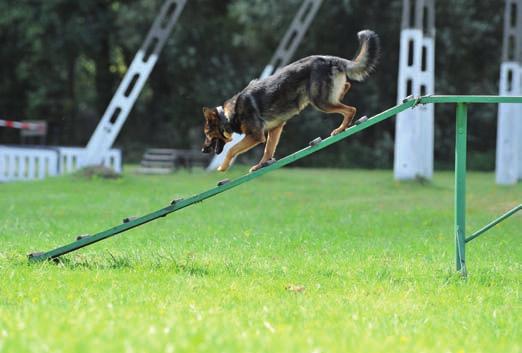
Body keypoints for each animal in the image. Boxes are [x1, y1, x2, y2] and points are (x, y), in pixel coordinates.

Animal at [200, 29, 378, 172]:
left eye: (207, 134)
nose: (203, 150)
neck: (228, 115)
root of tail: (330, 59)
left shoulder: (255, 136)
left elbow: (232, 149)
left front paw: (223, 167)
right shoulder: (275, 128)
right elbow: (268, 150)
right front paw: (261, 165)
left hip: (319, 101)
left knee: (350, 109)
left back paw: (341, 128)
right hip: (324, 96)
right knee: (346, 87)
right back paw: (341, 99)